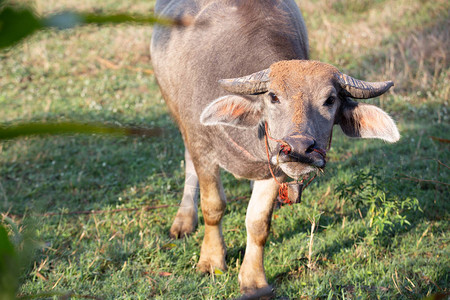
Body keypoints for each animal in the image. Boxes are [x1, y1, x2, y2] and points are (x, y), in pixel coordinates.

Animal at [151, 0, 400, 296]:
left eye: (330, 100)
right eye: (273, 96)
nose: (300, 148)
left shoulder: (273, 168)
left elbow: (258, 223)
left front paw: (253, 280)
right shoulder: (203, 148)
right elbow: (213, 207)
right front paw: (211, 261)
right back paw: (184, 220)